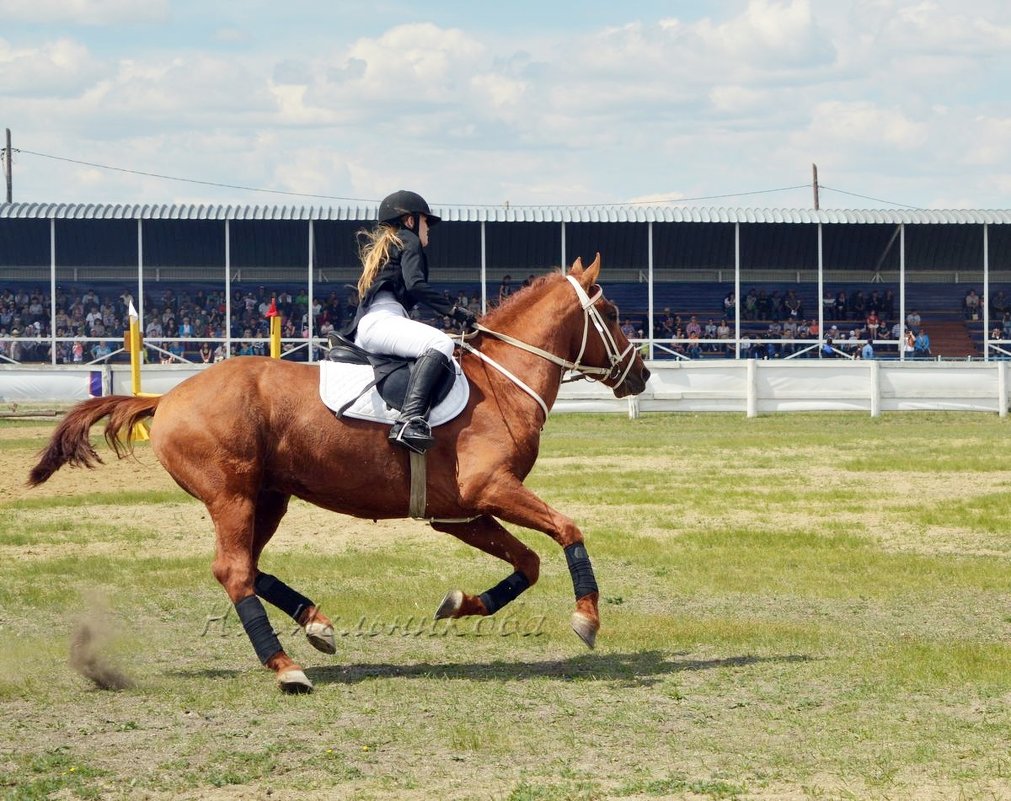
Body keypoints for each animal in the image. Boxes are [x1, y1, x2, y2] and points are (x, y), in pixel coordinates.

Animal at [31, 254, 651, 687]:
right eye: (613, 314)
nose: (641, 374)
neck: (501, 380)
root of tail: (167, 398)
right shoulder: (491, 489)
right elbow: (568, 530)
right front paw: (587, 618)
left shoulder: (461, 512)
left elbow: (527, 562)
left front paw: (461, 605)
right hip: (232, 496)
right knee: (234, 571)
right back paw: (285, 666)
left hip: (268, 498)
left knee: (247, 567)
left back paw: (316, 624)